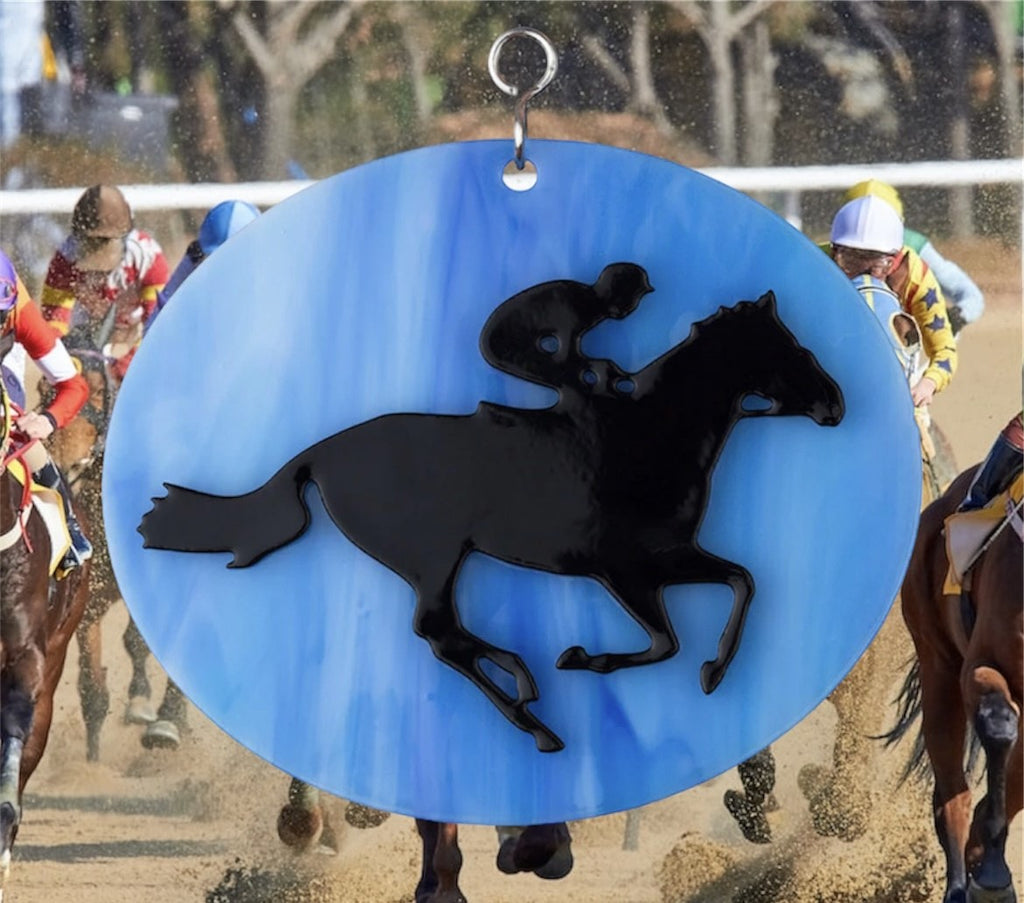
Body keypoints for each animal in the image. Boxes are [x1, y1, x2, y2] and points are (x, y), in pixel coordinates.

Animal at [139, 290, 844, 752]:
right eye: (792, 347)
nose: (836, 405)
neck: (654, 433)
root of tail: (320, 452)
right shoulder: (627, 569)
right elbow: (669, 638)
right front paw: (584, 658)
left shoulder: (666, 559)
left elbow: (741, 583)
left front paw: (714, 670)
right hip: (432, 555)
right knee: (438, 633)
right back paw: (534, 707)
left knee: (444, 634)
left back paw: (527, 693)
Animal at [886, 465, 1022, 903]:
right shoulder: (979, 666)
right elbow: (998, 727)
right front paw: (993, 872)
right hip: (938, 668)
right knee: (951, 798)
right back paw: (965, 882)